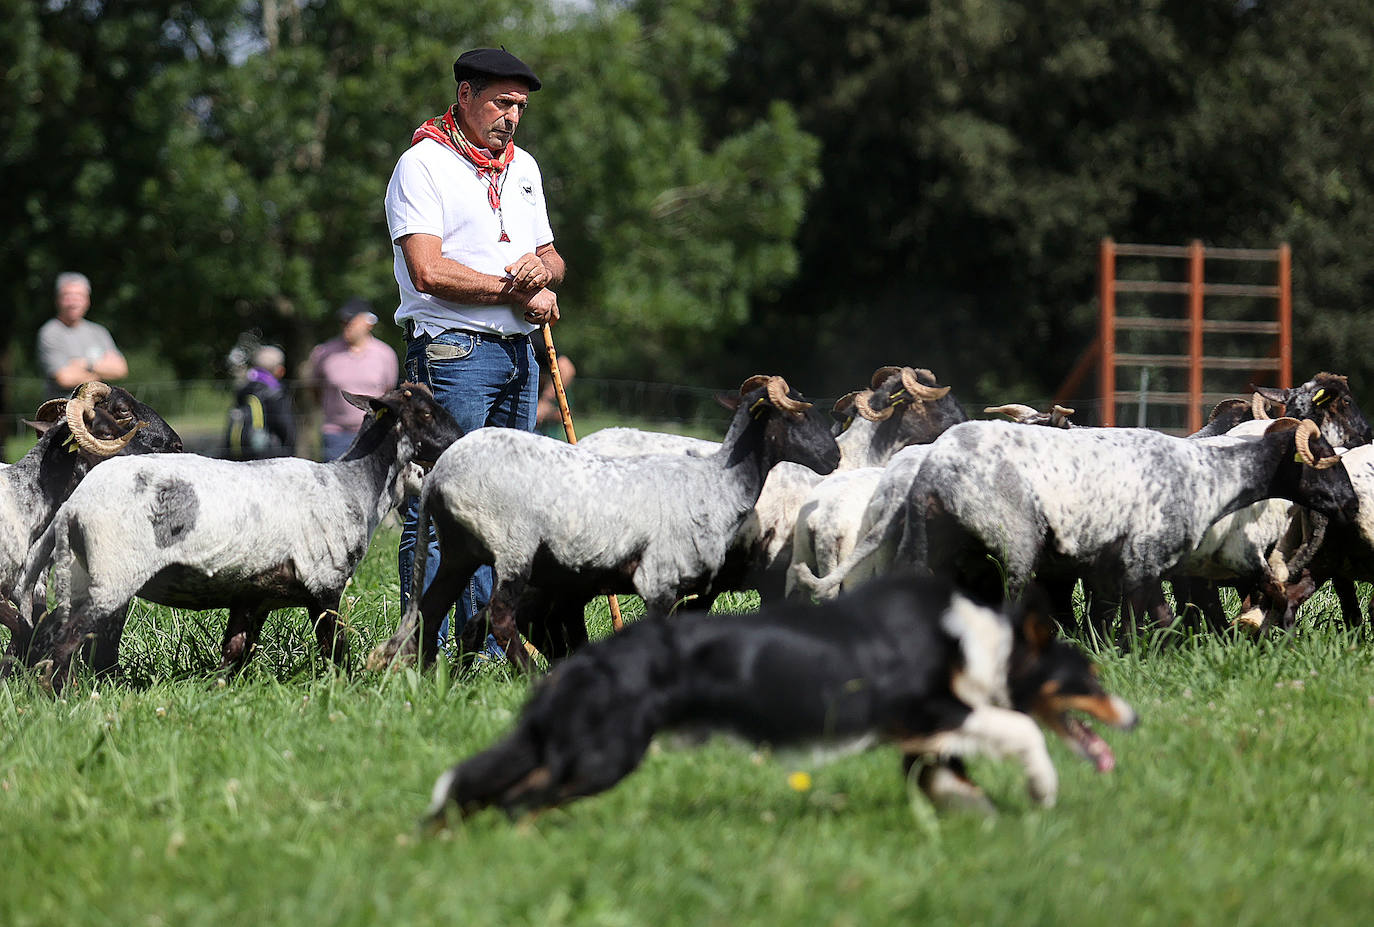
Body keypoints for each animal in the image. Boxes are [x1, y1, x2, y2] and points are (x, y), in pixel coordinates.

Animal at [428, 576, 1137, 824]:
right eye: (1089, 677)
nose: (1131, 718)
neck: (976, 640)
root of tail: (584, 661)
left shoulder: (922, 733)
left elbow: (942, 777)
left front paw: (984, 819)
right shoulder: (924, 709)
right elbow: (1022, 729)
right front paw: (1041, 790)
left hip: (579, 747)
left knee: (479, 789)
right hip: (605, 754)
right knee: (517, 798)